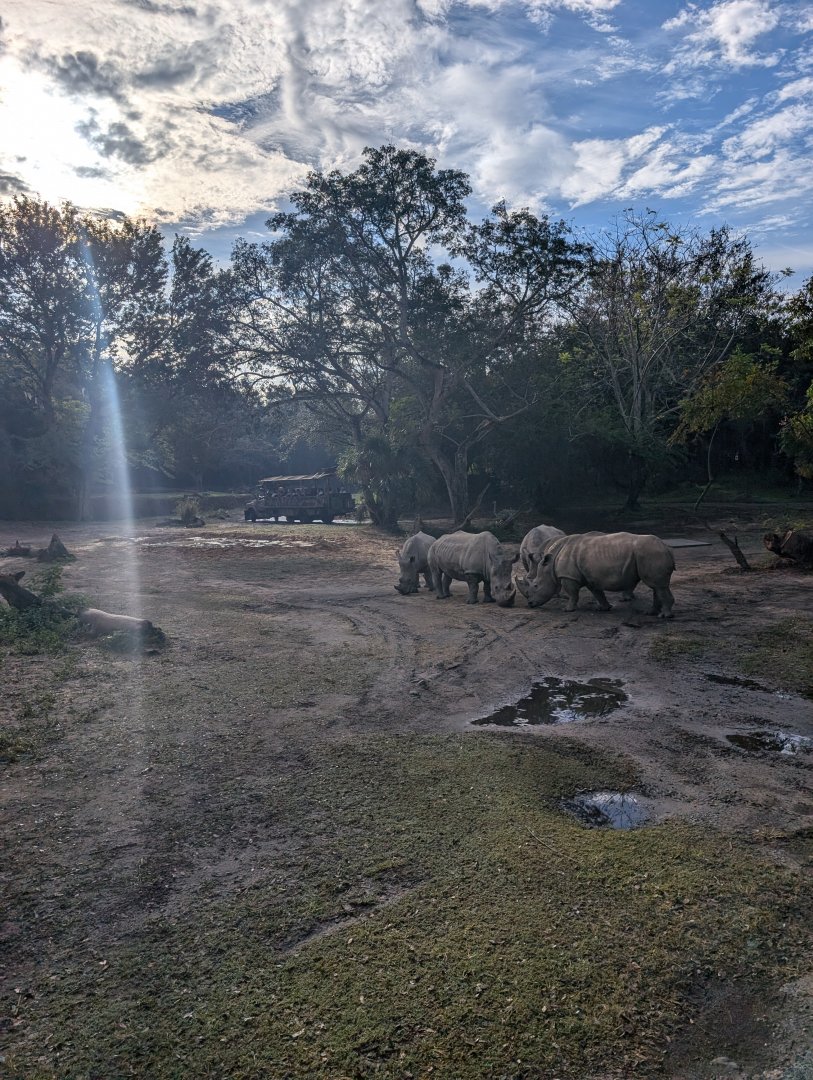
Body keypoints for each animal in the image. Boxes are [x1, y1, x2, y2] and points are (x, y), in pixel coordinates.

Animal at [515, 532, 675, 618]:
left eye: (536, 585)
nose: (530, 604)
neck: (550, 565)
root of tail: (667, 548)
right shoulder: (590, 578)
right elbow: (598, 593)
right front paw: (604, 608)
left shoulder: (567, 576)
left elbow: (573, 594)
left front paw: (567, 609)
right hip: (650, 554)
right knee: (656, 586)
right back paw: (650, 613)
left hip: (650, 553)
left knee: (658, 586)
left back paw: (664, 616)